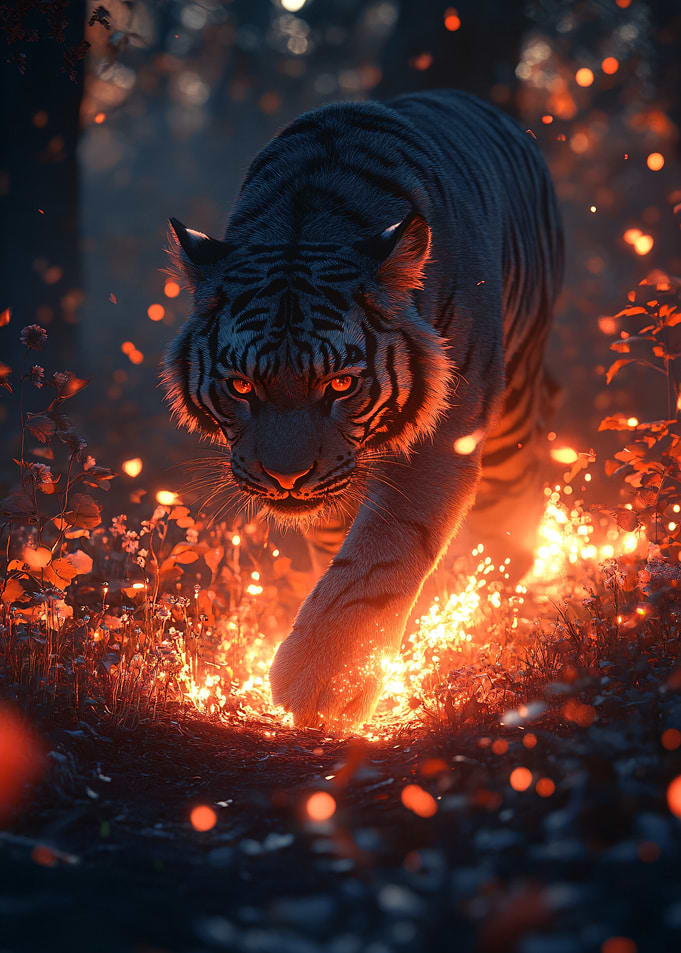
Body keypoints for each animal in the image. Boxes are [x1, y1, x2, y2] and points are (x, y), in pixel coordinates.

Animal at [163, 89, 563, 729]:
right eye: (242, 386)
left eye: (341, 385)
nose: (286, 478)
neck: (305, 216)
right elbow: (338, 543)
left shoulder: (445, 437)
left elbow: (383, 550)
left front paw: (324, 679)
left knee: (514, 502)